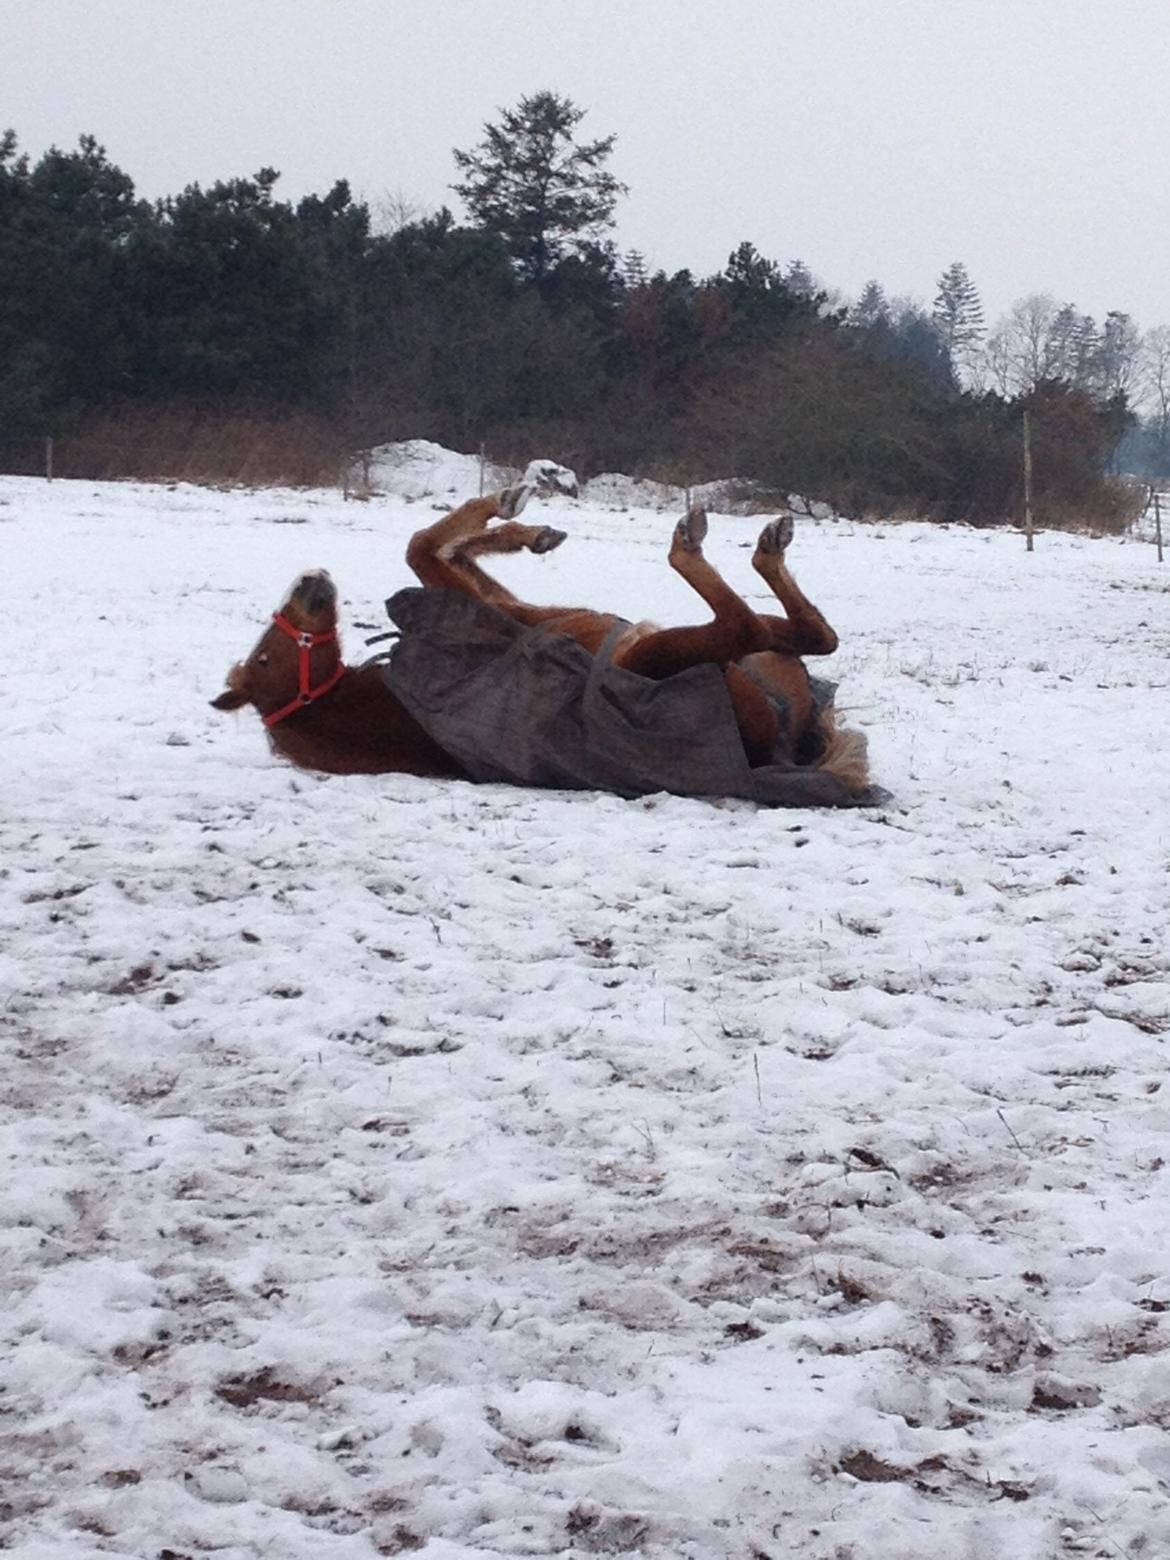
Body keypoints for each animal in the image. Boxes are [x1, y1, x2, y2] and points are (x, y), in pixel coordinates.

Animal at [210, 475, 870, 800]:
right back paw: (713, 542)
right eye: (264, 657)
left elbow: (430, 548)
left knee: (811, 636)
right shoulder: (504, 610)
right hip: (671, 650)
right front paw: (511, 512)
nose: (309, 582)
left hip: (764, 657)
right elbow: (426, 547)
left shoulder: (497, 599)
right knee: (751, 624)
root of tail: (777, 748)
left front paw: (525, 526)